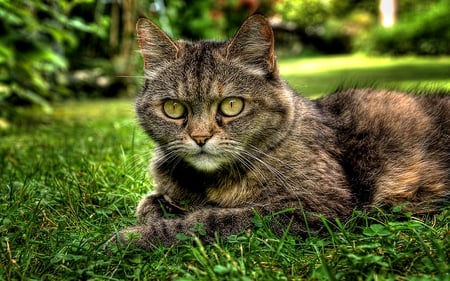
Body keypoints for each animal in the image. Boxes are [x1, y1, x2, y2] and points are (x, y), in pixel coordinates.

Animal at [106, 14, 450, 250]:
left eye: (232, 105)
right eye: (174, 108)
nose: (200, 138)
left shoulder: (316, 205)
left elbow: (215, 219)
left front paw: (134, 237)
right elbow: (150, 202)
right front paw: (158, 212)